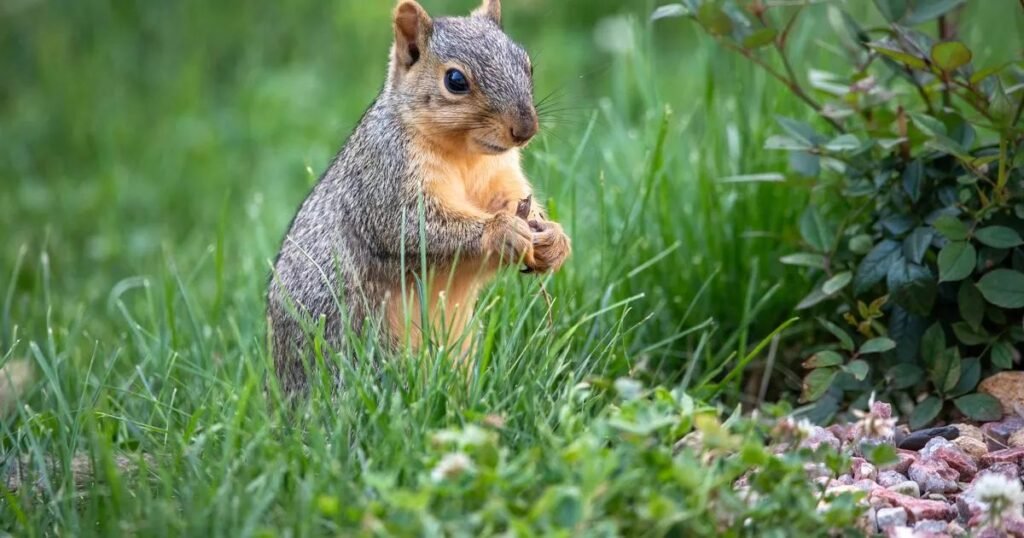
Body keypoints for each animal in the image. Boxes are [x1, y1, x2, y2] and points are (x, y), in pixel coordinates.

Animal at [266, 0, 571, 393]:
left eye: (527, 64)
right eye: (455, 81)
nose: (526, 129)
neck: (465, 155)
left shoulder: (501, 177)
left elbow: (513, 201)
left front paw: (553, 238)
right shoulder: (385, 178)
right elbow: (413, 228)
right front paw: (502, 230)